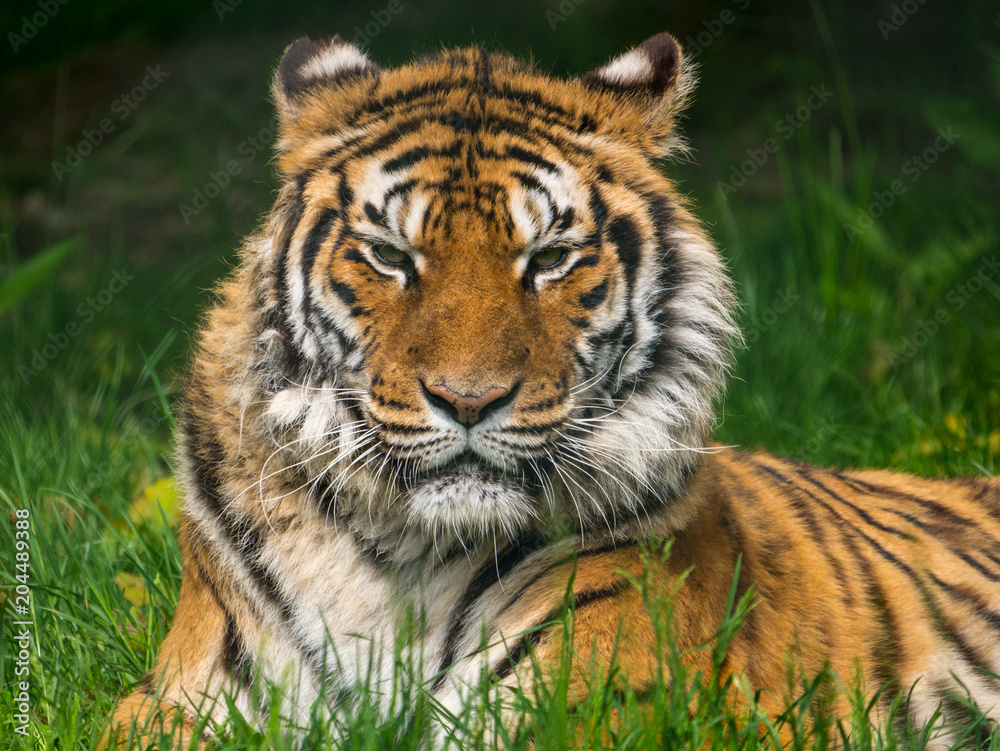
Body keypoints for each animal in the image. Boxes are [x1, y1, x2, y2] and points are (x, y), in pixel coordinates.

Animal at [106, 32, 1000, 748]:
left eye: (550, 259)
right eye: (390, 255)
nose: (468, 400)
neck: (400, 556)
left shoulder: (603, 704)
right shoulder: (181, 695)